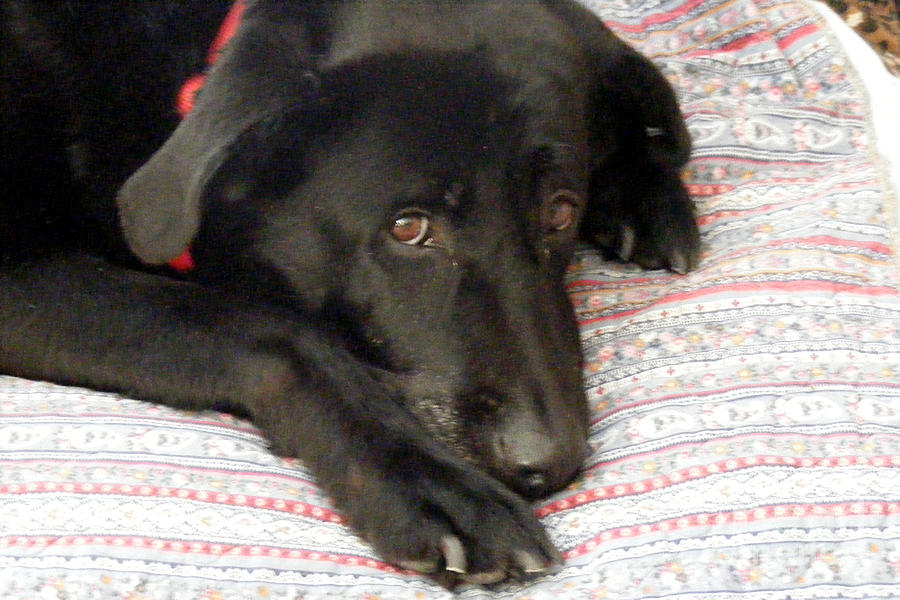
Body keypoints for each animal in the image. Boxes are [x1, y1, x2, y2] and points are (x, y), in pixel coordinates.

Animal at [0, 0, 700, 584]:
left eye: (560, 212)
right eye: (408, 227)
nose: (550, 463)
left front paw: (639, 184)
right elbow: (265, 328)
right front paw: (431, 485)